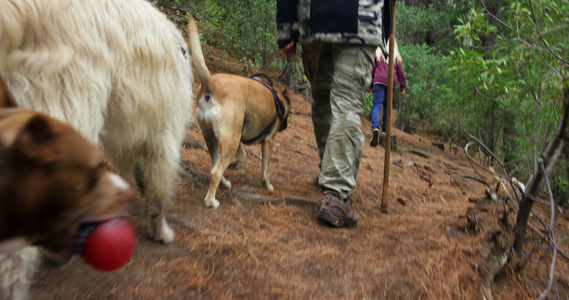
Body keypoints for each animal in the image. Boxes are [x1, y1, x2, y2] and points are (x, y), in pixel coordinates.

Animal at [187, 18, 290, 209]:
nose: (285, 126)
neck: (277, 97)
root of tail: (211, 84)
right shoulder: (269, 140)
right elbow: (265, 168)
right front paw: (267, 184)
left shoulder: (237, 134)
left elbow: (241, 157)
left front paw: (236, 165)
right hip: (230, 141)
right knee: (215, 171)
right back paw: (211, 201)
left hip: (214, 137)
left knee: (214, 164)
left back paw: (225, 183)